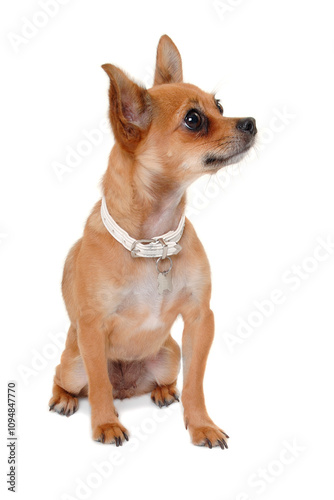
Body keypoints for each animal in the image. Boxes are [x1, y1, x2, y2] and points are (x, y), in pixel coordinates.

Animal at [49, 35, 256, 450]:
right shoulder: (92, 330)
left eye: (220, 106)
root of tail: (128, 388)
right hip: (74, 362)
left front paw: (201, 424)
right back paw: (65, 400)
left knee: (167, 378)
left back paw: (161, 391)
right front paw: (105, 424)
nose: (251, 122)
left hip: (169, 355)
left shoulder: (199, 320)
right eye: (193, 120)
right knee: (74, 380)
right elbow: (99, 385)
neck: (153, 243)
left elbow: (195, 383)